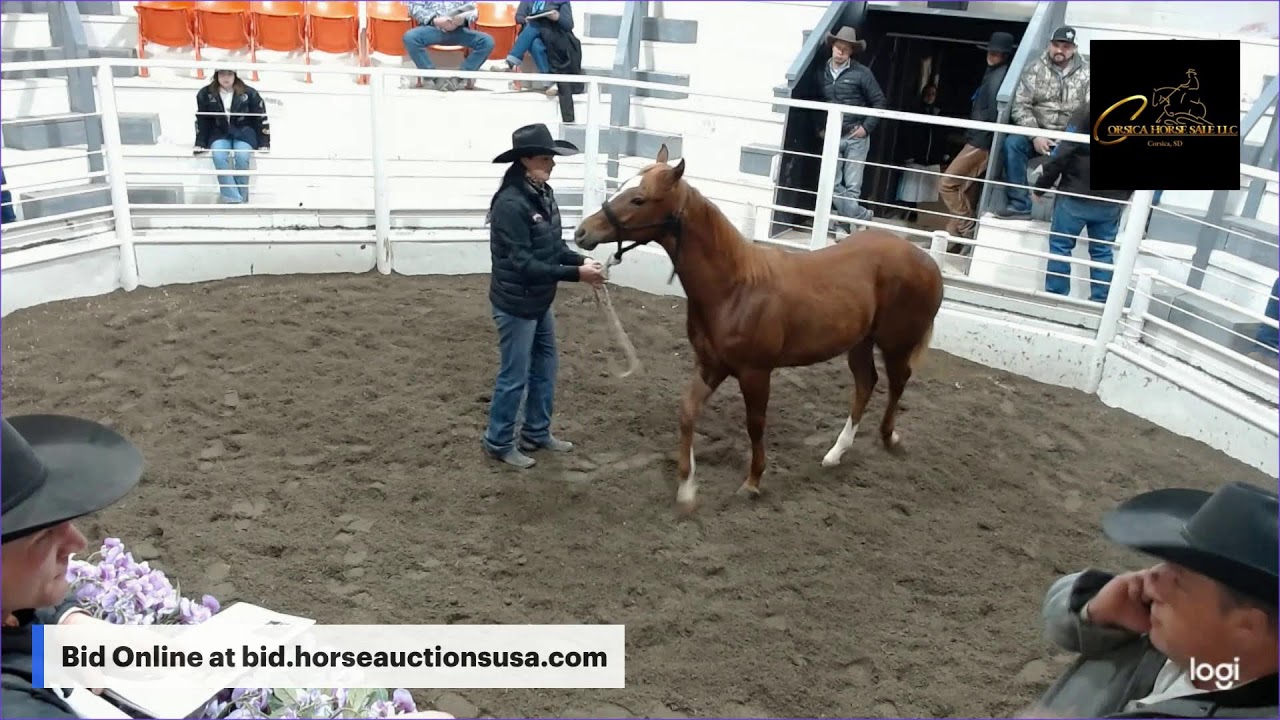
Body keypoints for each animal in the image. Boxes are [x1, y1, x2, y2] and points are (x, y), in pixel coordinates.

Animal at [574, 145, 944, 512]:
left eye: (638, 199)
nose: (581, 232)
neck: (735, 289)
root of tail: (926, 261)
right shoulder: (712, 366)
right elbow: (688, 411)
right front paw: (687, 487)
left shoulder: (755, 372)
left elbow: (755, 425)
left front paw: (752, 483)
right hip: (860, 344)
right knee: (867, 384)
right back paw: (835, 453)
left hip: (895, 344)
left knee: (897, 382)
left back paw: (889, 437)